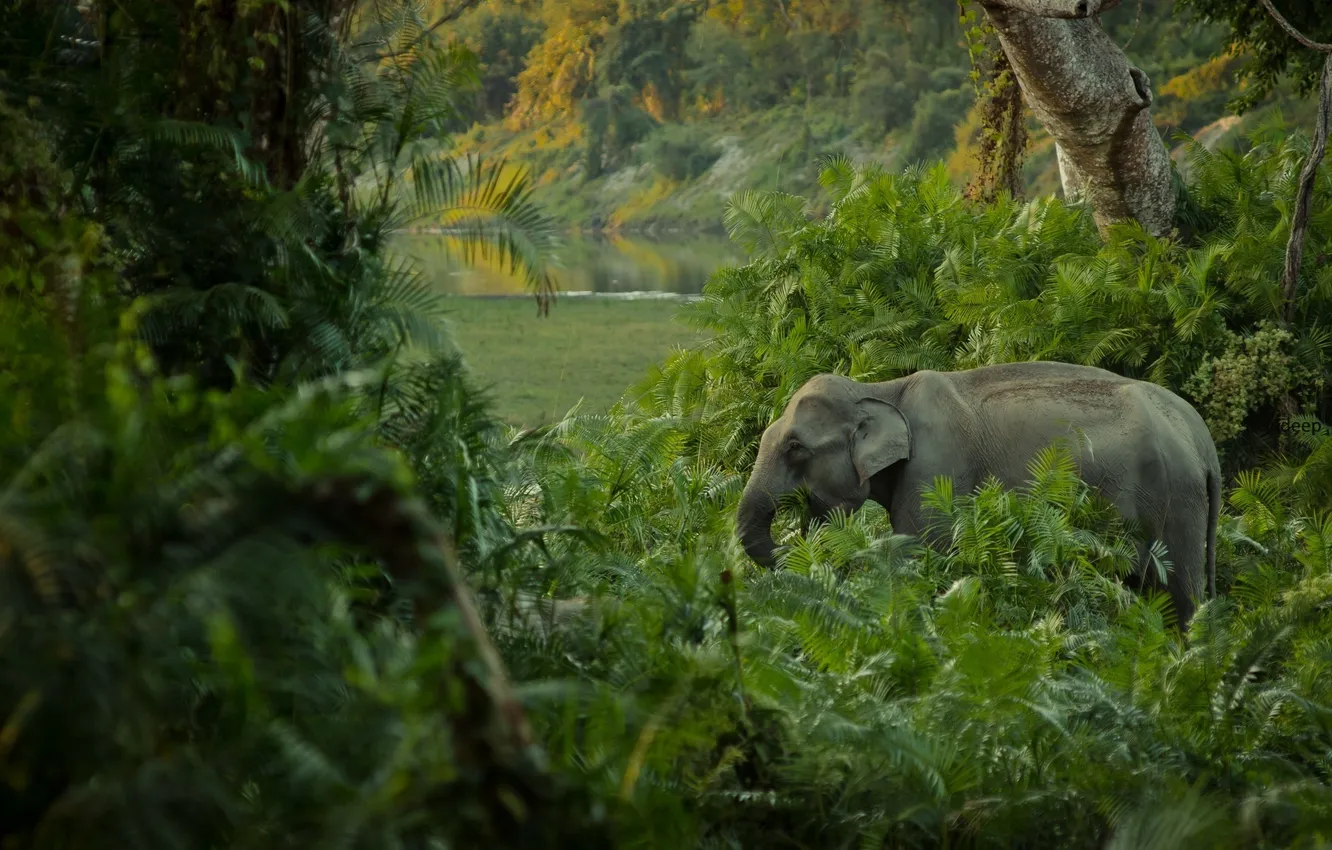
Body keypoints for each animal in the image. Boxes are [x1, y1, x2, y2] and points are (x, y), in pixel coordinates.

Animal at [735, 362, 1222, 626]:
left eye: (795, 448)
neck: (880, 389)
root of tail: (1202, 439)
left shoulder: (937, 469)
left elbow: (920, 556)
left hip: (1178, 501)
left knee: (1178, 598)